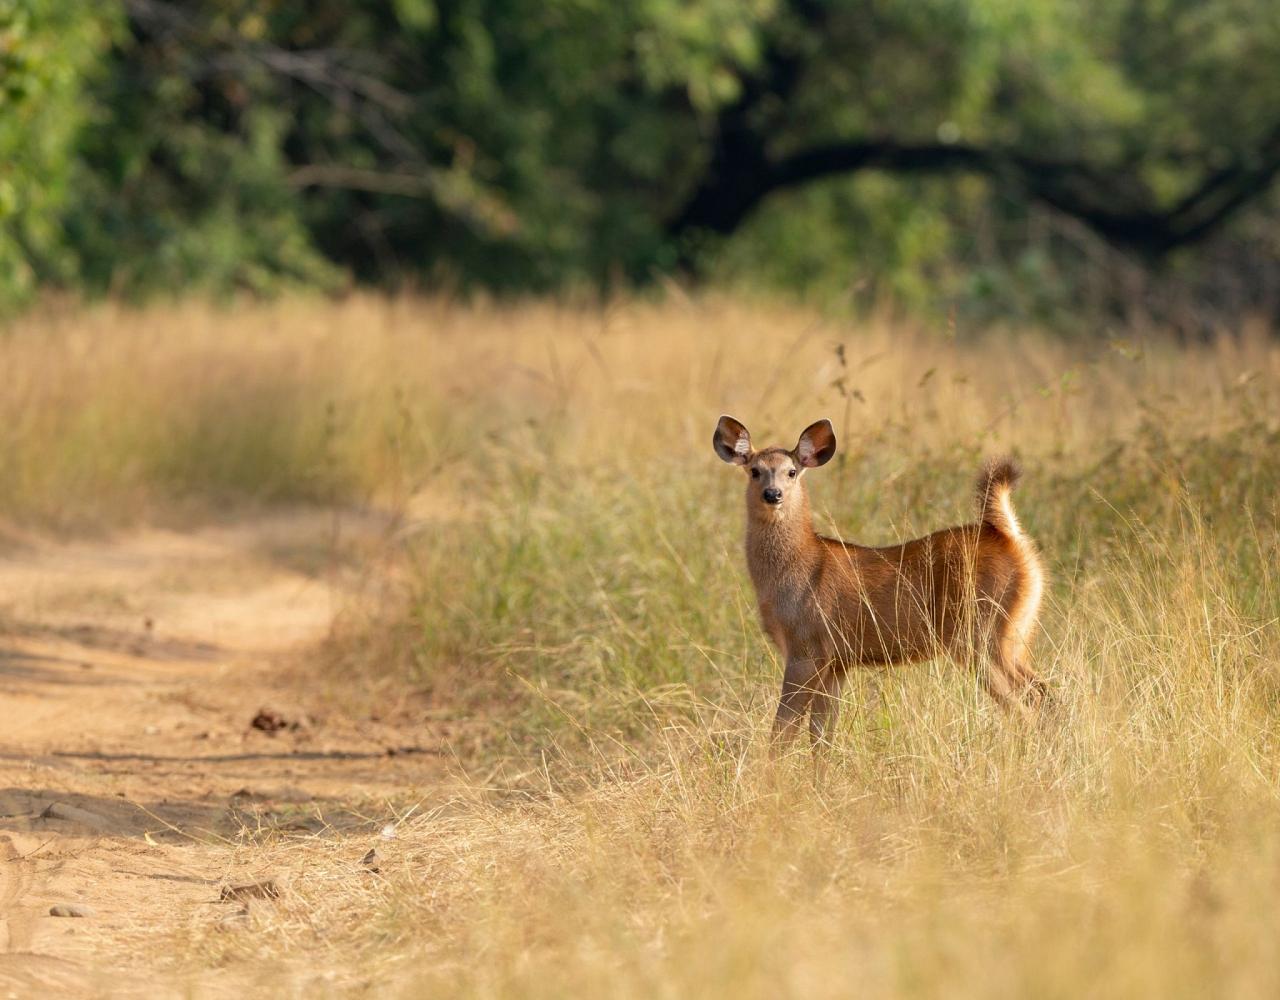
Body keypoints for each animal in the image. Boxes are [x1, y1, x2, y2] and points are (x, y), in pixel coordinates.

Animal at [716, 409, 1044, 742]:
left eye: (792, 471)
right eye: (755, 471)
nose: (773, 494)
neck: (794, 567)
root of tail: (1008, 536)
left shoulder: (806, 648)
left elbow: (782, 731)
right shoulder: (836, 663)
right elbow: (821, 736)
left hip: (981, 634)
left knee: (1028, 704)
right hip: (1013, 635)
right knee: (1044, 692)